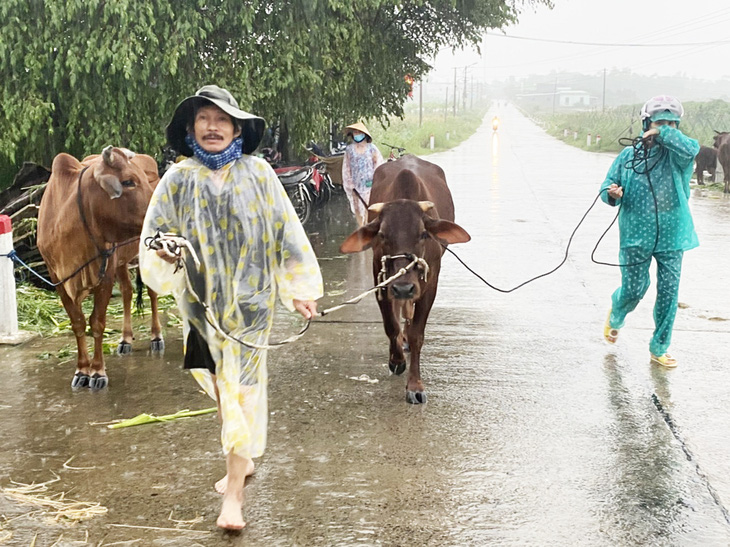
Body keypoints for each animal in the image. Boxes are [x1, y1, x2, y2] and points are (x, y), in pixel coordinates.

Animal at [37, 146, 162, 390]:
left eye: (143, 179)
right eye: (128, 181)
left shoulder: (105, 274)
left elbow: (97, 322)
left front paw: (97, 372)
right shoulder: (57, 278)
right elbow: (77, 323)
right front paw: (81, 370)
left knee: (152, 294)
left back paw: (156, 336)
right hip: (122, 262)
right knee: (127, 291)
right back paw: (125, 338)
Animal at [338, 156, 470, 404]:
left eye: (423, 234)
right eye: (382, 235)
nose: (403, 288)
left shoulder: (429, 285)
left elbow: (417, 334)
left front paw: (415, 386)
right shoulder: (381, 280)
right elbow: (391, 324)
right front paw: (396, 360)